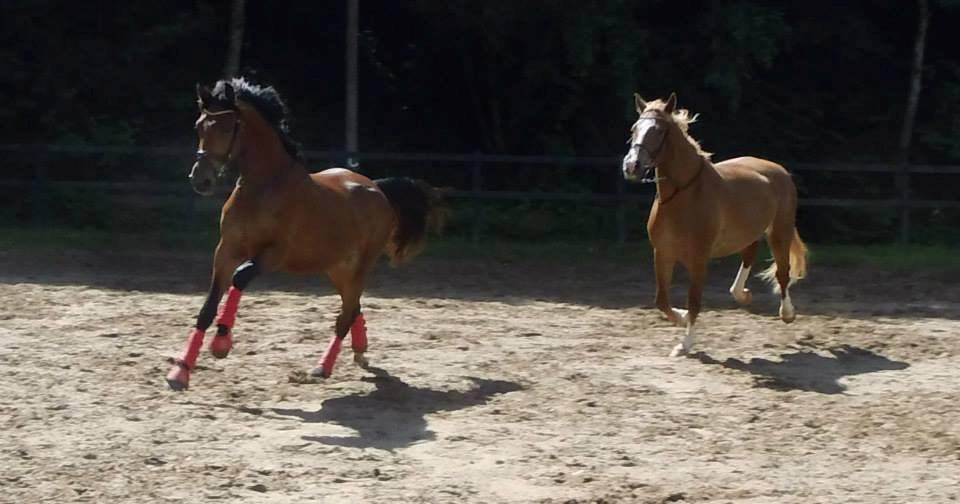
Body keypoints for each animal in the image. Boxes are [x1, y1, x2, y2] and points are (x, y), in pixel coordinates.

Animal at [166, 78, 442, 390]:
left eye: (226, 128)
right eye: (199, 126)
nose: (200, 180)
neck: (263, 188)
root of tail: (377, 189)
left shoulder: (274, 254)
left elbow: (240, 277)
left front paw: (221, 344)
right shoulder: (226, 250)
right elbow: (207, 308)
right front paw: (180, 372)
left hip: (362, 264)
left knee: (346, 314)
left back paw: (323, 367)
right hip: (337, 266)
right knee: (353, 306)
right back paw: (360, 352)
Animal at [624, 92, 808, 356]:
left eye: (658, 131)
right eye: (634, 129)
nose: (631, 167)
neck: (684, 196)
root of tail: (779, 171)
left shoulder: (699, 259)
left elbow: (694, 301)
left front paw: (686, 343)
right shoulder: (662, 253)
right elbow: (661, 300)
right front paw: (681, 318)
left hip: (779, 232)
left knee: (782, 273)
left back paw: (787, 313)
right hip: (750, 232)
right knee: (749, 254)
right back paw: (742, 294)